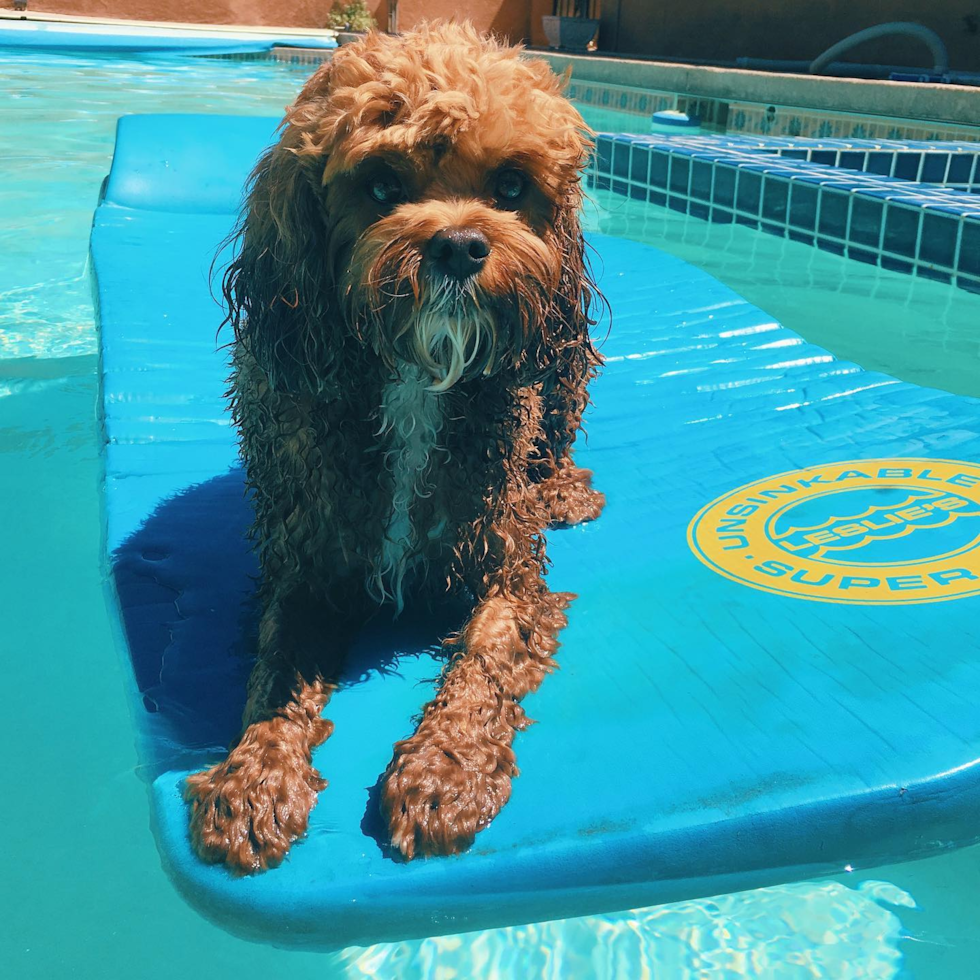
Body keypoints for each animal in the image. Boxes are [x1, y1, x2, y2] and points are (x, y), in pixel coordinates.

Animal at [182, 21, 604, 872]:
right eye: (379, 186)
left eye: (511, 185)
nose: (460, 247)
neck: (415, 375)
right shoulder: (308, 564)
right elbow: (276, 672)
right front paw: (253, 779)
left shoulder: (508, 564)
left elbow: (486, 658)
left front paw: (448, 771)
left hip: (565, 357)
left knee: (557, 428)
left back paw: (565, 488)